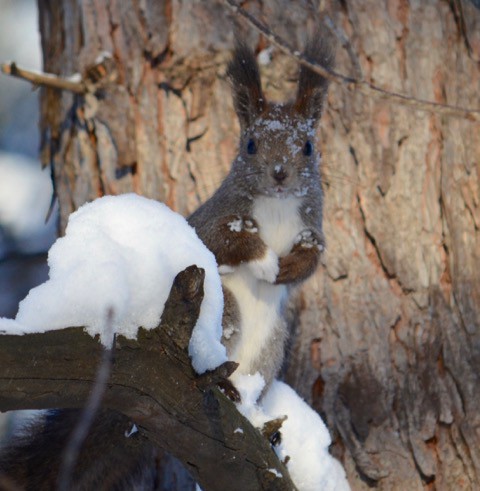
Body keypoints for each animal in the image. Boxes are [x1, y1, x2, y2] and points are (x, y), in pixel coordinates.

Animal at [0, 37, 334, 488]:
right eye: (250, 144)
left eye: (308, 146)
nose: (280, 174)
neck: (278, 205)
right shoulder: (215, 219)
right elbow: (225, 242)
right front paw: (266, 262)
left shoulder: (312, 227)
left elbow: (312, 260)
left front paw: (288, 269)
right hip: (224, 310)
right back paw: (226, 389)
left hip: (272, 342)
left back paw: (249, 408)